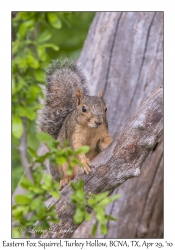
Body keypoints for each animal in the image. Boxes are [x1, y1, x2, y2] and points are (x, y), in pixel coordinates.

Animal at [36, 58, 112, 188]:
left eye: (105, 109)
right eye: (84, 109)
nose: (98, 122)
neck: (90, 128)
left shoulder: (102, 132)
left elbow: (106, 142)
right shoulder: (74, 133)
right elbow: (77, 147)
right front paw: (84, 162)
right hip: (60, 162)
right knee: (64, 175)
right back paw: (64, 180)